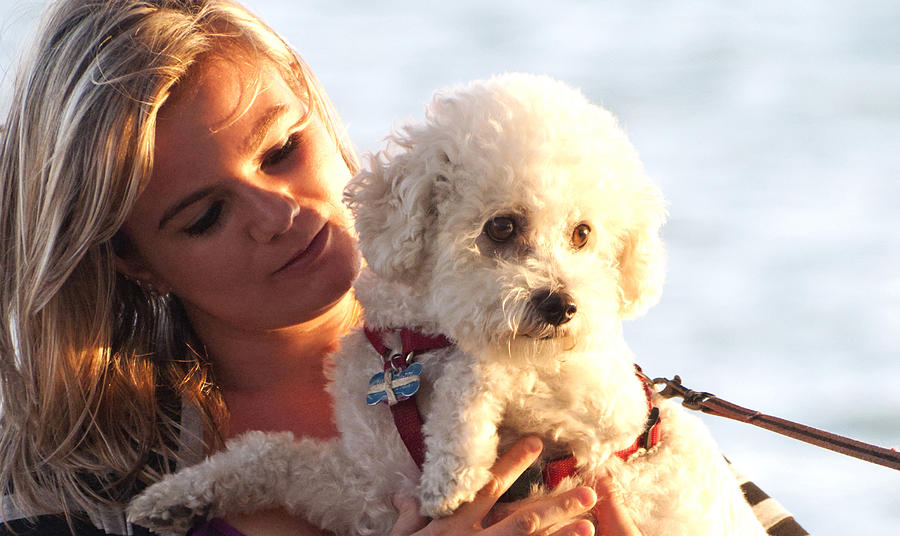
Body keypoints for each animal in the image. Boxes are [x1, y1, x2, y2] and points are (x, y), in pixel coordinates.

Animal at [126, 72, 768, 536]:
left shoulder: (605, 412)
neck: (421, 342)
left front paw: (455, 465)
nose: (561, 306)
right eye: (502, 227)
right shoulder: (372, 492)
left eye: (582, 234)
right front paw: (174, 497)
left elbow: (483, 367)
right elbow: (271, 455)